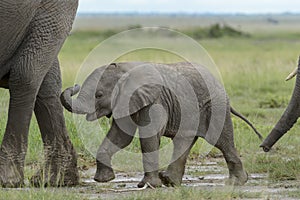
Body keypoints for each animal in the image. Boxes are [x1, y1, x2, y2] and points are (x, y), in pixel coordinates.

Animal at [60, 61, 260, 188]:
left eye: (99, 95)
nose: (75, 85)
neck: (124, 68)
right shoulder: (127, 101)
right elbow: (121, 136)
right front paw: (103, 180)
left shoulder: (155, 101)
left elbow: (148, 135)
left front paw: (148, 185)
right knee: (184, 140)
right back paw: (170, 181)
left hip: (215, 106)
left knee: (222, 142)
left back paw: (236, 183)